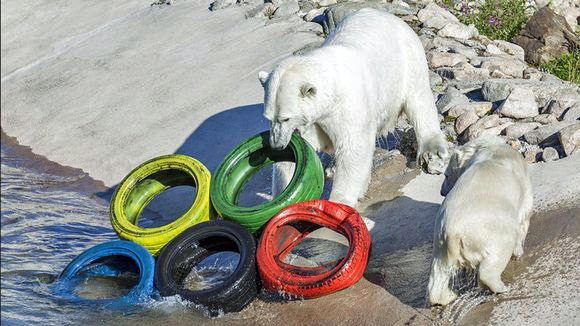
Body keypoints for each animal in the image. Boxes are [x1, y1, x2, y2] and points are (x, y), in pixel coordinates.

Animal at [260, 8, 448, 206]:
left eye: (285, 118)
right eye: (268, 118)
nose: (276, 145)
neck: (331, 83)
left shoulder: (348, 107)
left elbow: (353, 147)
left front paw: (339, 200)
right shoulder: (313, 122)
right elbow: (295, 155)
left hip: (408, 60)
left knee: (419, 101)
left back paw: (432, 151)